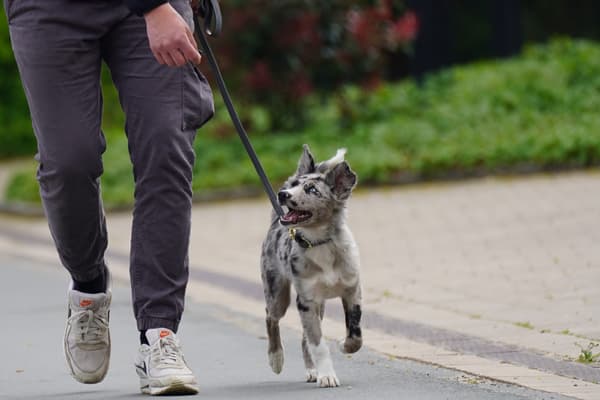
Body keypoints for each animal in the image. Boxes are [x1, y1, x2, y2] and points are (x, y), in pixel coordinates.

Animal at [258, 145, 360, 388]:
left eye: (312, 189)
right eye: (294, 185)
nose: (283, 194)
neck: (319, 243)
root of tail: (275, 221)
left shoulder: (352, 290)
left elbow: (355, 333)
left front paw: (345, 345)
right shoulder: (306, 301)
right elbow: (319, 345)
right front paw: (327, 375)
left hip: (320, 305)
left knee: (305, 338)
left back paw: (312, 370)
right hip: (277, 294)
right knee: (270, 317)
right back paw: (276, 358)